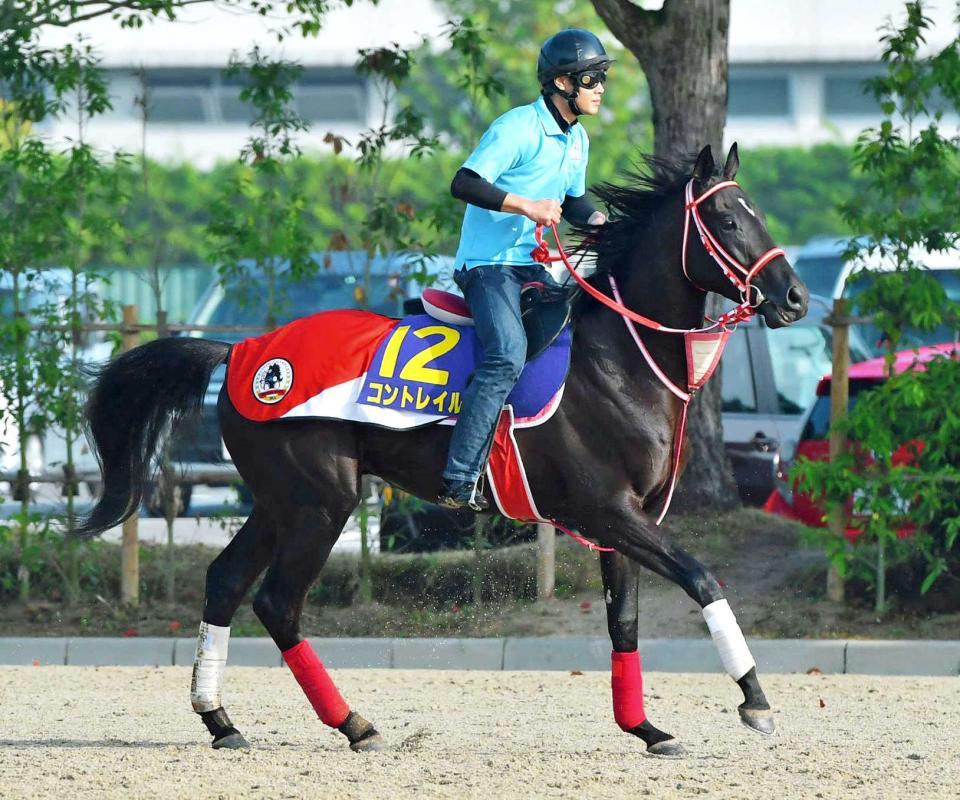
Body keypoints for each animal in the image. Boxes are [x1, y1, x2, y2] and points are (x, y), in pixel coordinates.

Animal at [77, 144, 808, 756]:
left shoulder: (624, 524)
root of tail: (244, 352)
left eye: (757, 213)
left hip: (280, 501)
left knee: (227, 582)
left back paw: (222, 720)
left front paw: (646, 727)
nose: (795, 297)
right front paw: (755, 699)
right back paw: (354, 724)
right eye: (726, 219)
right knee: (277, 602)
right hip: (321, 502)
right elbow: (701, 577)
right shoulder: (606, 512)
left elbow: (624, 623)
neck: (618, 360)